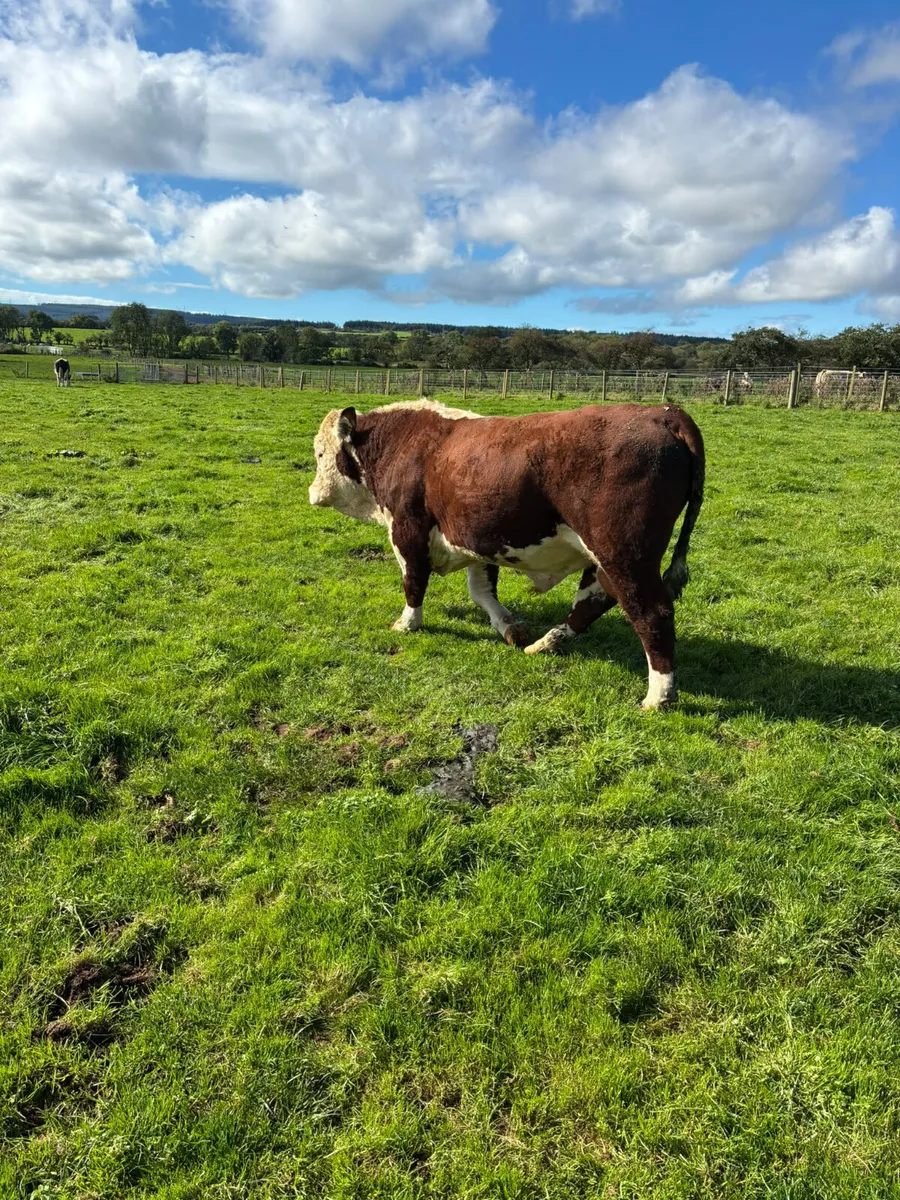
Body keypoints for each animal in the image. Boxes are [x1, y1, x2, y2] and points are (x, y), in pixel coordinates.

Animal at [309, 400, 704, 709]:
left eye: (320, 453)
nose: (312, 493)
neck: (406, 445)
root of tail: (665, 413)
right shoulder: (478, 538)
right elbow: (481, 591)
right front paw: (509, 626)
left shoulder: (408, 529)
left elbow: (414, 582)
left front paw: (407, 623)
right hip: (605, 559)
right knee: (593, 601)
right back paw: (547, 643)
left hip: (625, 556)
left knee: (651, 613)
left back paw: (659, 695)